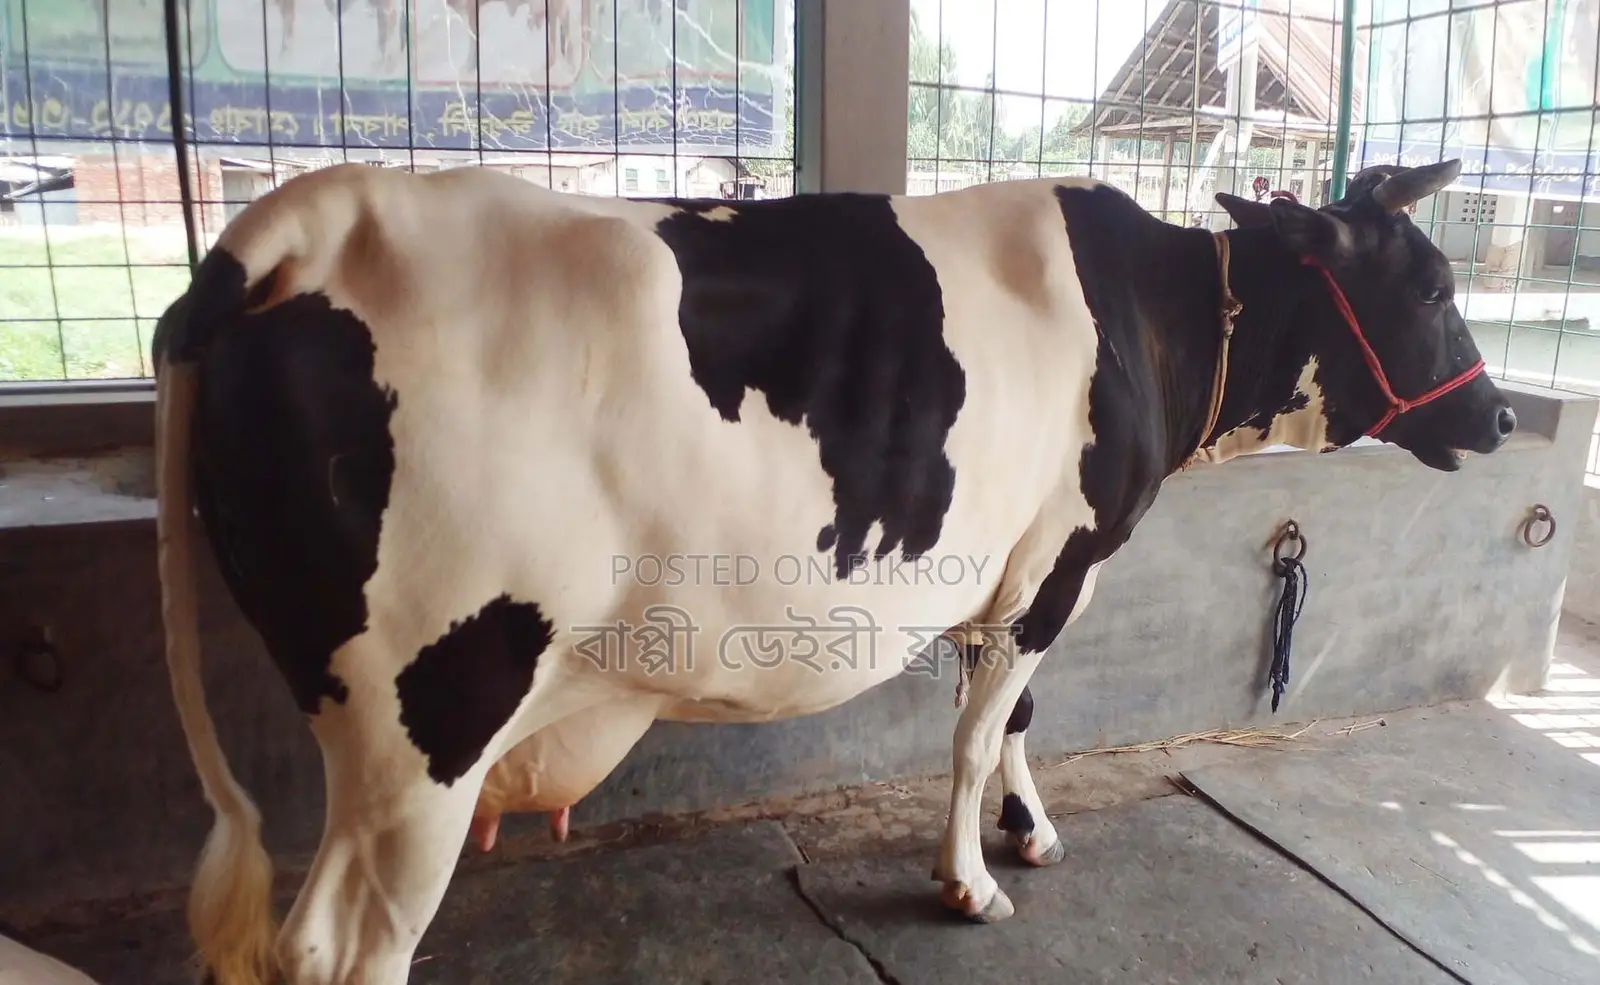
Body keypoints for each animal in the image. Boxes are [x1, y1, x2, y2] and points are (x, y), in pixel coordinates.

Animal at [149, 157, 1512, 984]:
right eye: (1431, 285)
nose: (1500, 418)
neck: (1157, 317)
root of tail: (311, 216)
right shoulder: (1058, 559)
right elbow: (977, 729)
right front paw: (969, 879)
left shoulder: (1014, 567)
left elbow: (1016, 713)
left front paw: (1027, 830)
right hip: (425, 717)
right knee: (336, 948)